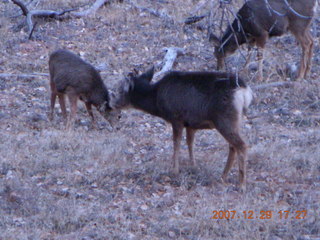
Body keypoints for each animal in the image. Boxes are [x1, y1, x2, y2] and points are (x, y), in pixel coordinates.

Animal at [114, 66, 254, 188]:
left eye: (120, 90)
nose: (113, 104)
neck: (156, 100)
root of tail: (245, 92)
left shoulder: (177, 118)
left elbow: (176, 143)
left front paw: (175, 170)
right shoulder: (191, 124)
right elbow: (190, 143)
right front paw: (193, 166)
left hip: (224, 119)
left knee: (241, 145)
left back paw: (242, 185)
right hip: (236, 120)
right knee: (233, 146)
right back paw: (223, 176)